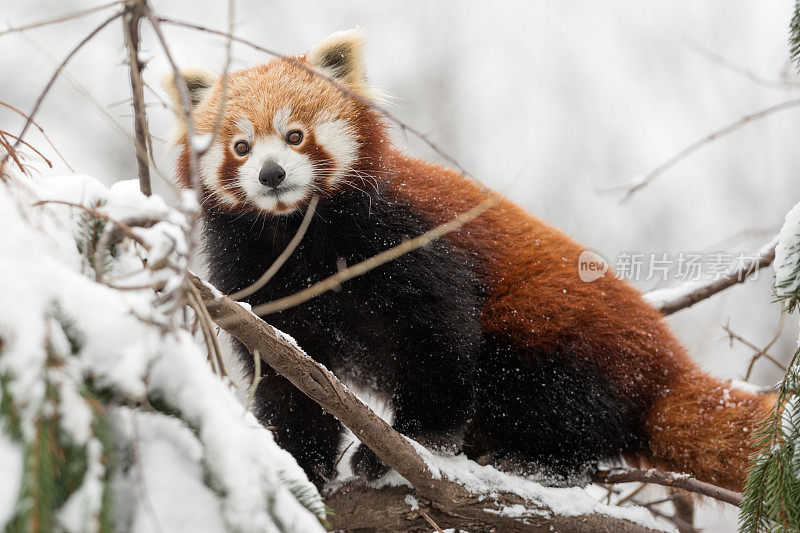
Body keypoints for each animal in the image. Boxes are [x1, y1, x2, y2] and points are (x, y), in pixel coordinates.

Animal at [164, 27, 776, 488]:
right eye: (241, 147)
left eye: (294, 135)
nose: (271, 175)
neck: (300, 234)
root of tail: (665, 364)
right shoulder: (257, 277)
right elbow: (286, 375)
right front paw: (301, 463)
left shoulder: (403, 237)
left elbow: (437, 333)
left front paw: (405, 443)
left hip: (553, 327)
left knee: (557, 392)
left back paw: (543, 460)